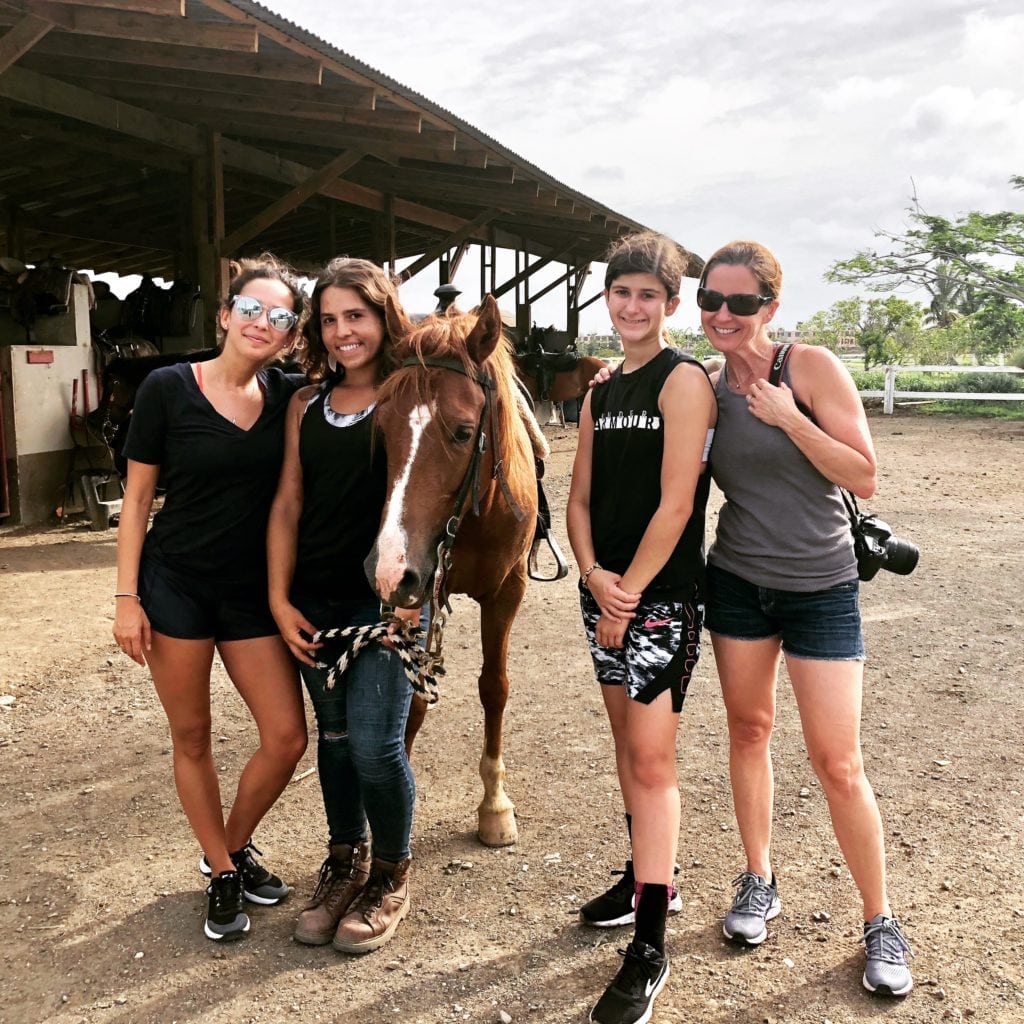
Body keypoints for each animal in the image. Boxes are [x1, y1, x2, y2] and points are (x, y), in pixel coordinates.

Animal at [370, 292, 544, 843]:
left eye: (465, 432)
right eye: (380, 428)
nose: (387, 570)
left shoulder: (507, 592)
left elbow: (495, 687)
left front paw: (494, 805)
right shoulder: (418, 593)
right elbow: (414, 699)